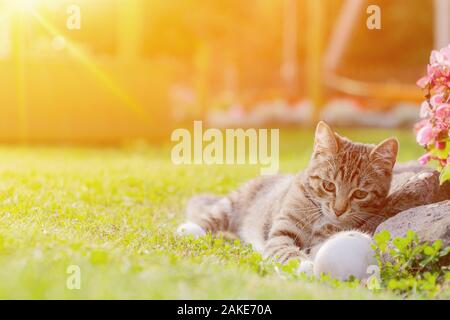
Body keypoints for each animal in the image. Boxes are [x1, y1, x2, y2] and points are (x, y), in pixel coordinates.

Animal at [179, 121, 398, 264]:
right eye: (329, 185)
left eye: (360, 194)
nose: (338, 210)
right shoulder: (282, 232)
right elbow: (288, 252)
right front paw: (304, 267)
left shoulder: (321, 240)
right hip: (233, 202)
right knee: (211, 216)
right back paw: (189, 229)